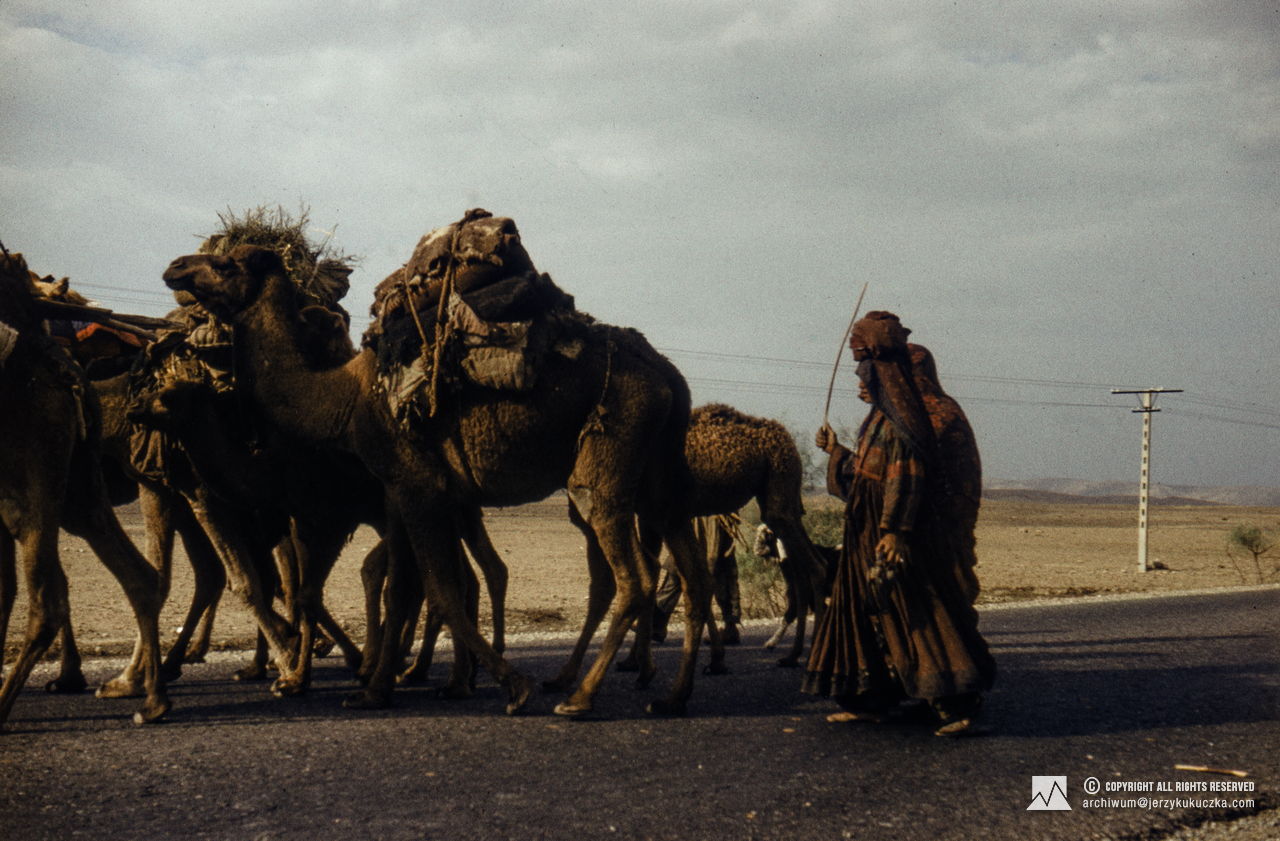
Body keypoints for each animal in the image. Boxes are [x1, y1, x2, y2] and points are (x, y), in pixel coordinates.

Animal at [161, 210, 717, 717]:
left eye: (227, 263)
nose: (175, 266)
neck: (342, 400)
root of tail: (668, 375)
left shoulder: (414, 485)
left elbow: (438, 589)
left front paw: (510, 686)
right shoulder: (407, 491)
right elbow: (406, 588)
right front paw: (376, 688)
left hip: (608, 455)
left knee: (633, 575)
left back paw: (578, 697)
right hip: (661, 475)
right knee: (692, 573)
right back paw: (673, 695)